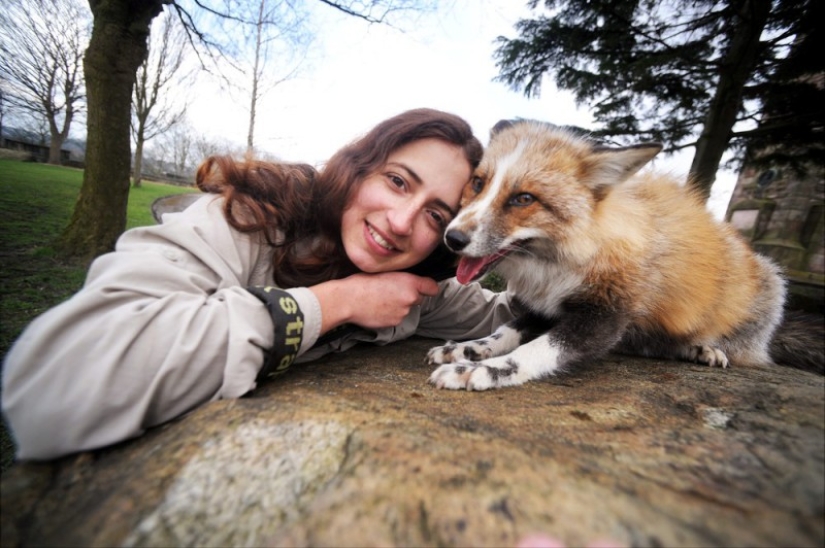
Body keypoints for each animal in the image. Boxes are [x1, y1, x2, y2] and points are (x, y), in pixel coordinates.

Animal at [428, 120, 820, 390]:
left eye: (524, 198)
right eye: (478, 183)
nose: (452, 238)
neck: (564, 262)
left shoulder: (606, 316)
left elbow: (532, 351)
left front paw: (482, 371)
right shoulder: (546, 305)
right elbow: (506, 330)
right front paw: (470, 349)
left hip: (768, 284)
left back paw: (707, 348)